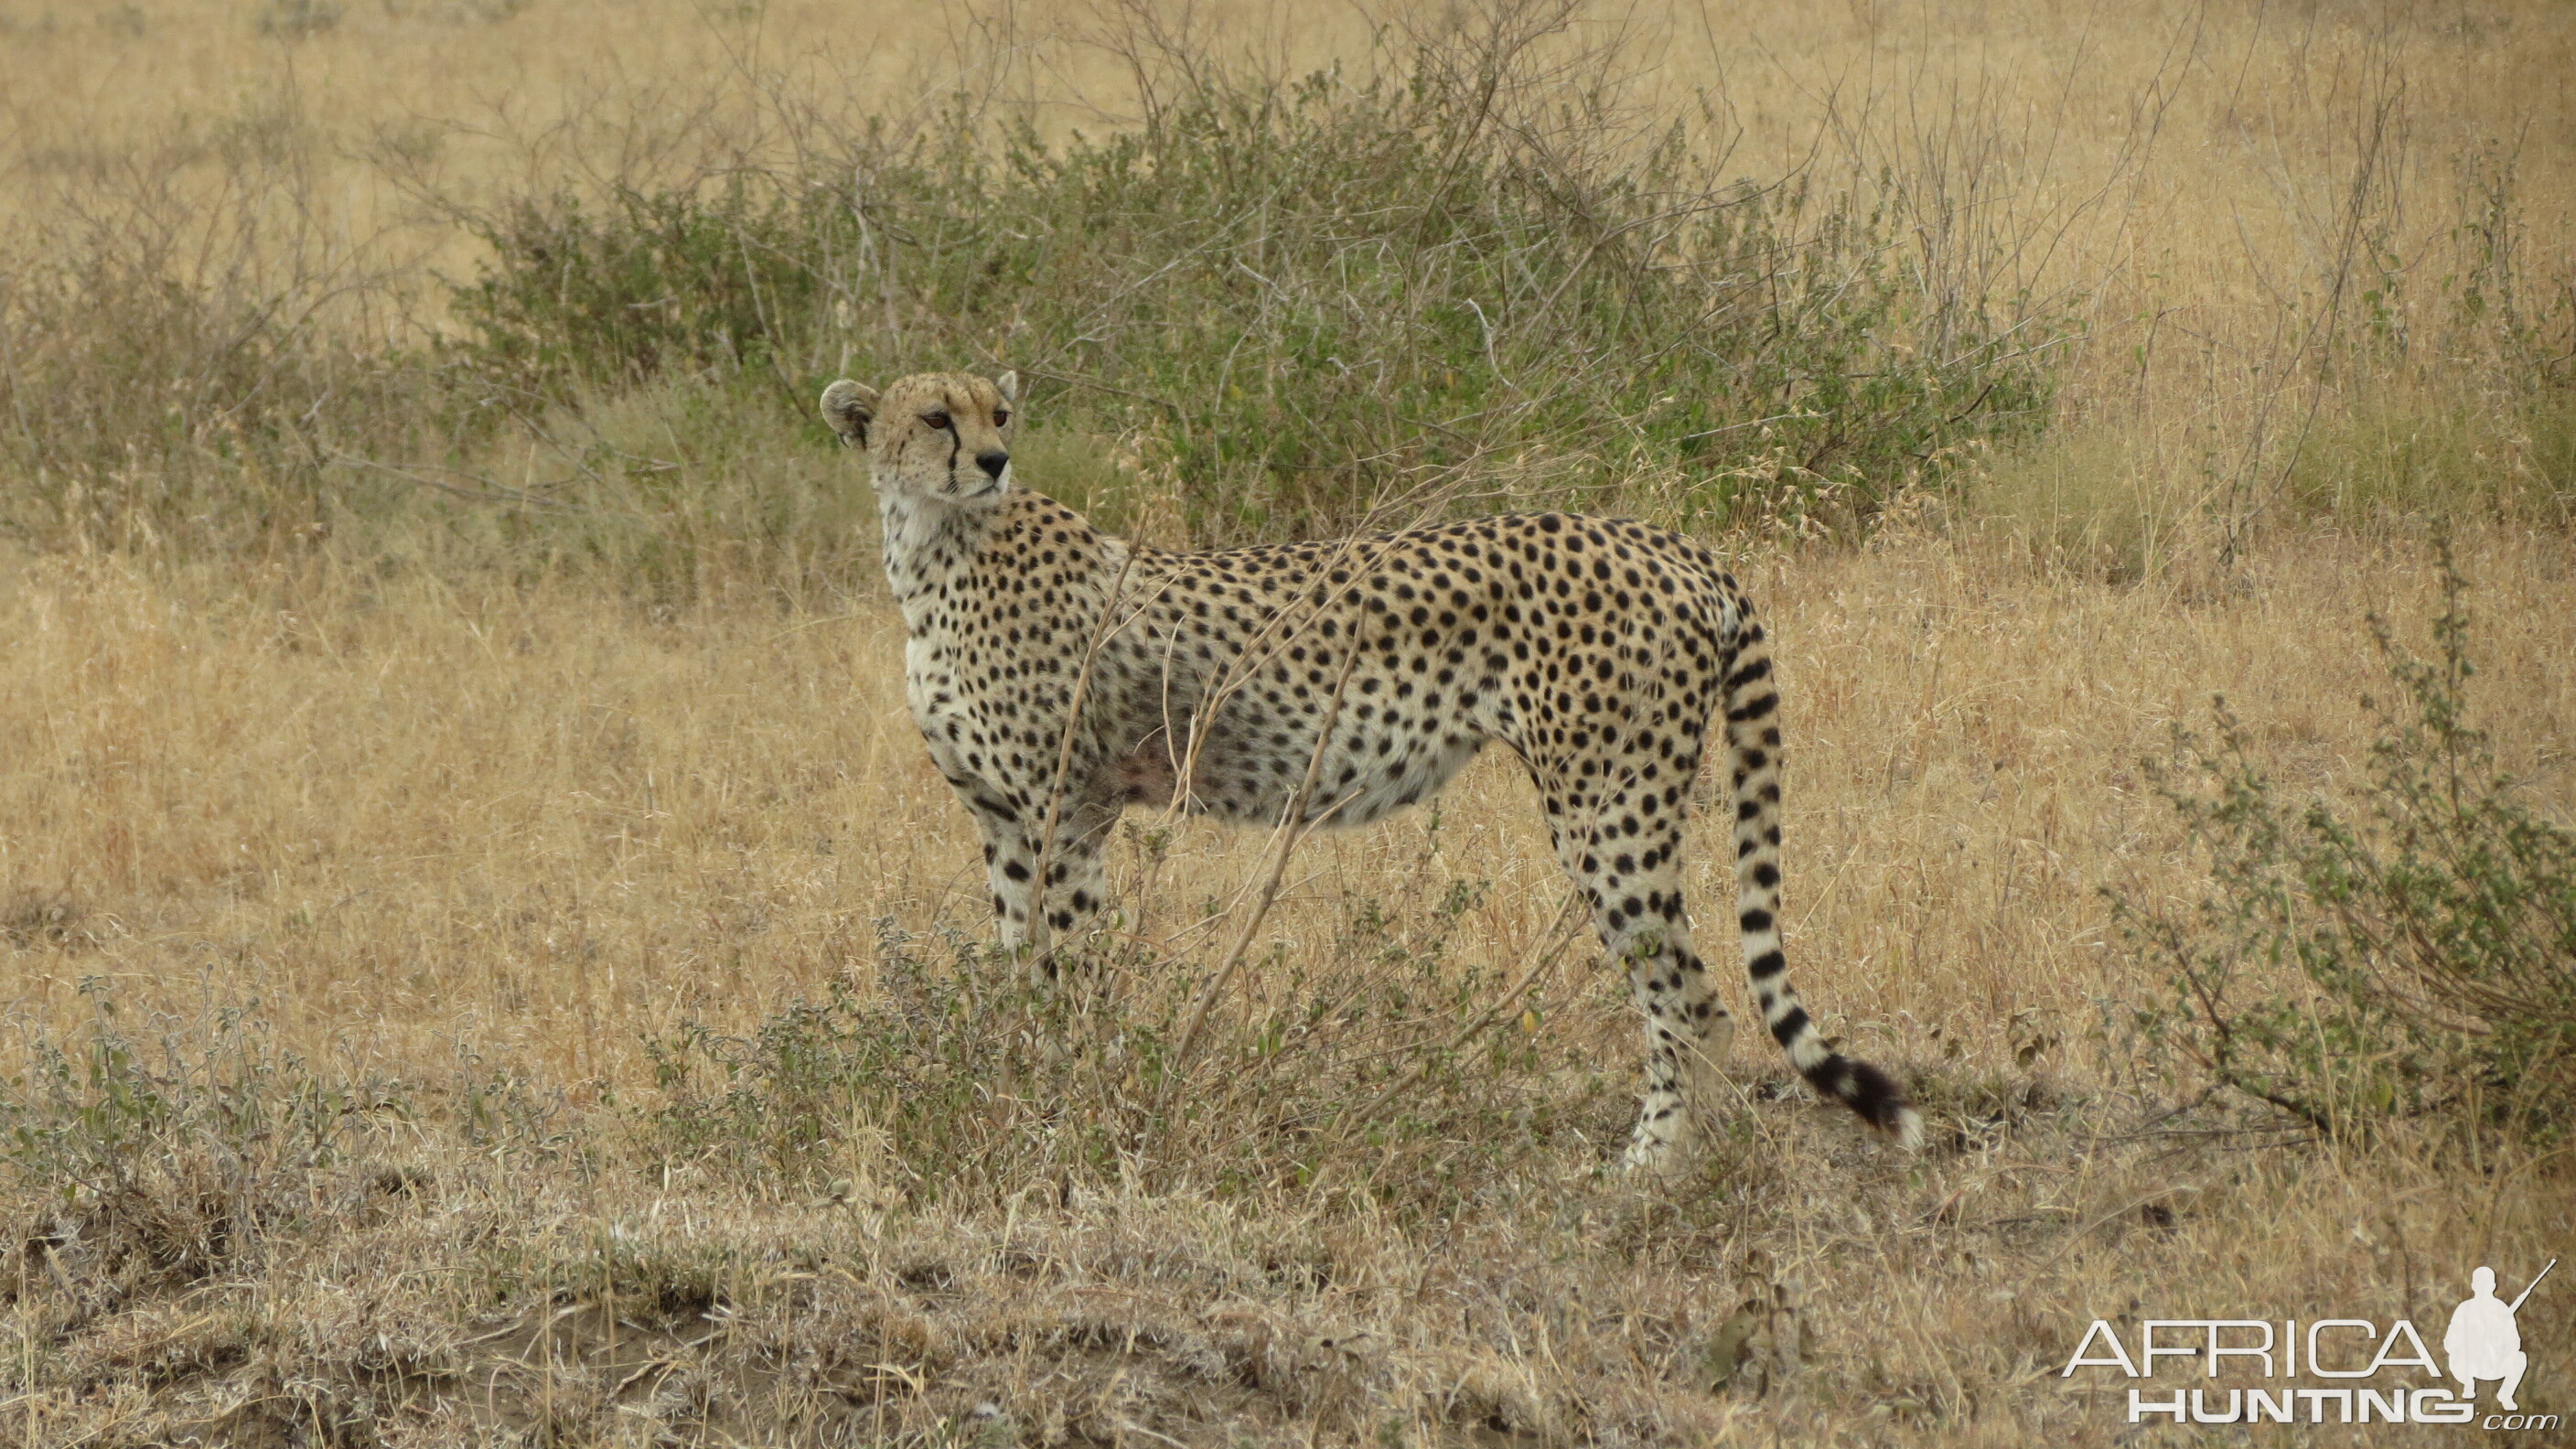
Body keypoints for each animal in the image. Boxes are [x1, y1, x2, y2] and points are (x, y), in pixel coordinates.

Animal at [819, 369, 1916, 1160]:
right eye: (936, 417)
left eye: (998, 412)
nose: (994, 459)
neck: (935, 547)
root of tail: (1665, 540)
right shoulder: (1006, 821)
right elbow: (1020, 968)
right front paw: (1021, 1084)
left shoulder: (1069, 810)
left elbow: (1071, 967)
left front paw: (1072, 1092)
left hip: (1609, 809)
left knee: (1691, 1001)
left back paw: (1653, 1172)